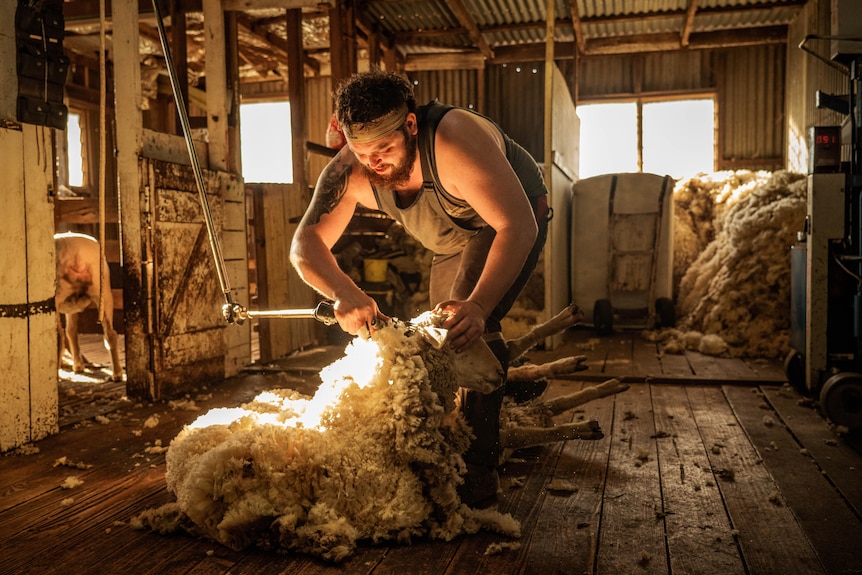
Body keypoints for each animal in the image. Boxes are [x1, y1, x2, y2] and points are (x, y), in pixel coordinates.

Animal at [133, 306, 628, 564]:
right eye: (462, 343)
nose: (495, 376)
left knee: (528, 379)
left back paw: (575, 354)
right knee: (530, 411)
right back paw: (589, 396)